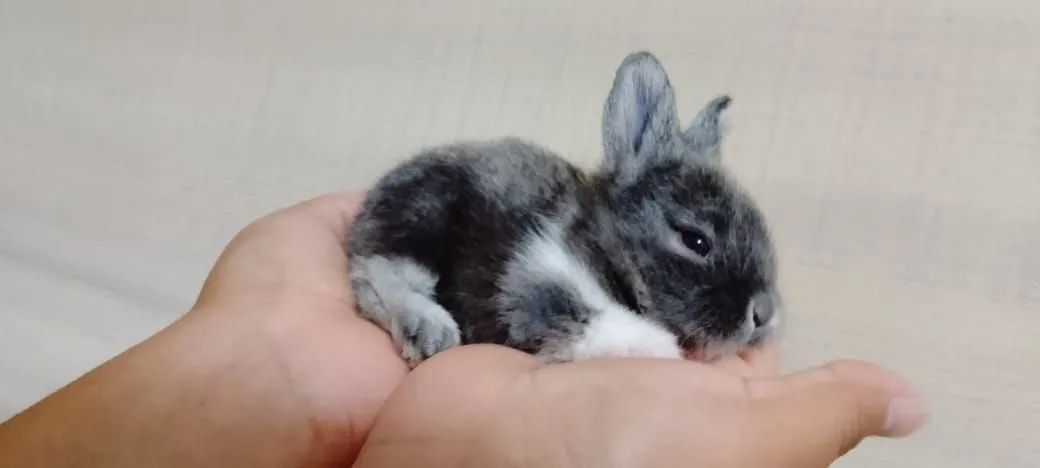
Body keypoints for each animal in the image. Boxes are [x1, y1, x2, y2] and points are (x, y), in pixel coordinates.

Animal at [347, 51, 780, 367]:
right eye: (695, 240)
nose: (764, 313)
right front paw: (656, 347)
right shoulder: (535, 284)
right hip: (417, 223)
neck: (603, 254)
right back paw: (430, 332)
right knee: (378, 278)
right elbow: (589, 323)